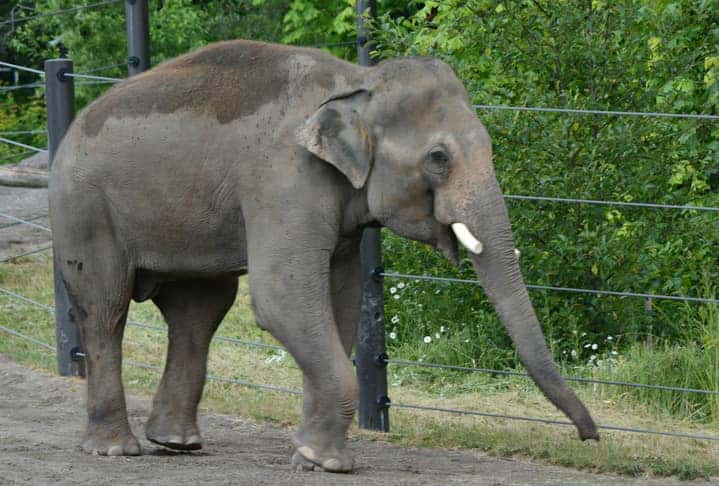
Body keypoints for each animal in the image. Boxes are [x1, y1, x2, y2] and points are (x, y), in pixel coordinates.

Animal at [49, 39, 599, 472]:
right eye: (439, 158)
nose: (590, 436)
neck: (358, 81)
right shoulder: (285, 180)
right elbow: (283, 300)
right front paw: (325, 462)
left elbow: (341, 300)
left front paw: (310, 455)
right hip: (84, 209)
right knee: (106, 308)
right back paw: (115, 450)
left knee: (198, 310)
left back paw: (177, 443)